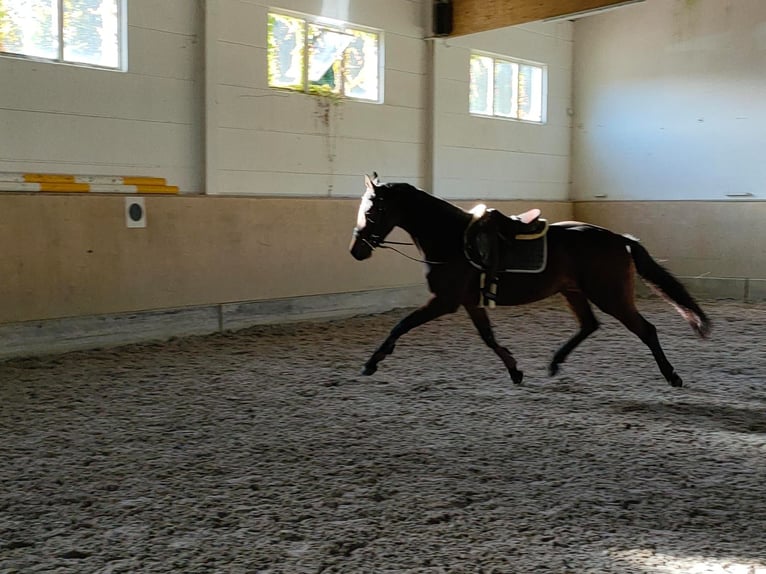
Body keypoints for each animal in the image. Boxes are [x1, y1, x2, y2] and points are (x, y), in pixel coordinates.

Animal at [352, 176, 712, 390]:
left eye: (371, 212)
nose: (356, 251)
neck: (451, 239)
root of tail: (619, 239)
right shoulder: (468, 302)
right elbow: (488, 338)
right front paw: (515, 370)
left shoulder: (444, 300)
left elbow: (401, 325)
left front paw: (371, 363)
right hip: (574, 291)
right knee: (589, 325)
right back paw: (554, 363)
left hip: (610, 296)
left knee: (645, 330)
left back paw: (672, 376)